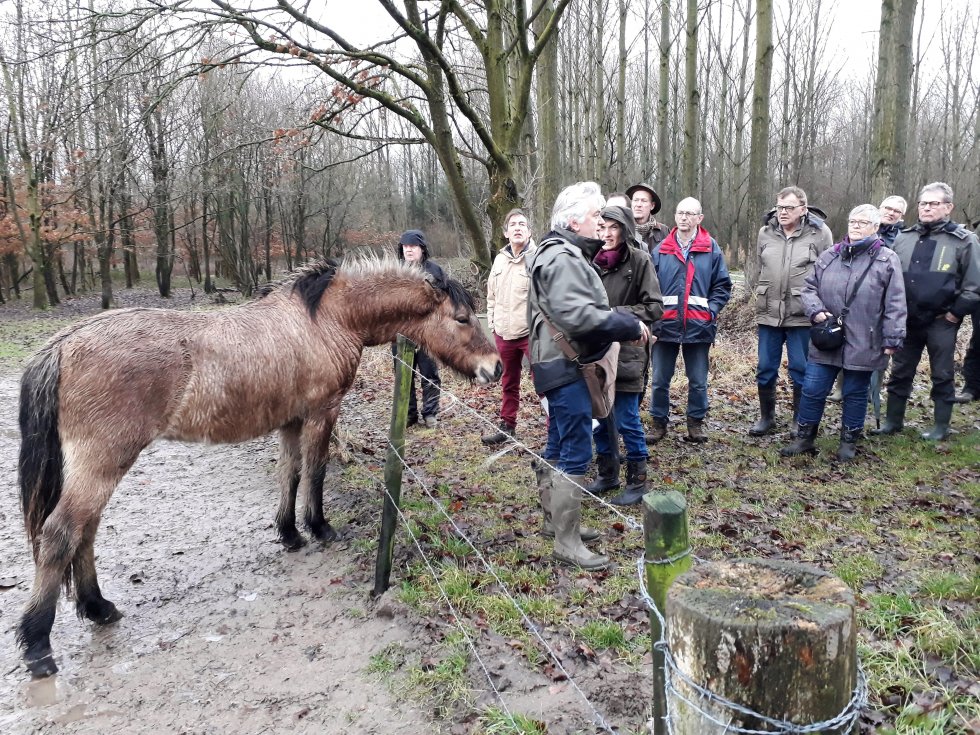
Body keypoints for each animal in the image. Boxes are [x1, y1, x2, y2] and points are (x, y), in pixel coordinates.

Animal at [14, 258, 502, 680]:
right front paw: (319, 527)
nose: (494, 368)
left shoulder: (290, 421)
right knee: (60, 534)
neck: (326, 320)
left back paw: (99, 608)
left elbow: (289, 473)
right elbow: (315, 471)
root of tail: (63, 344)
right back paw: (38, 645)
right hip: (104, 461)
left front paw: (289, 533)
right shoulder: (322, 414)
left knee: (85, 531)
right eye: (462, 318)